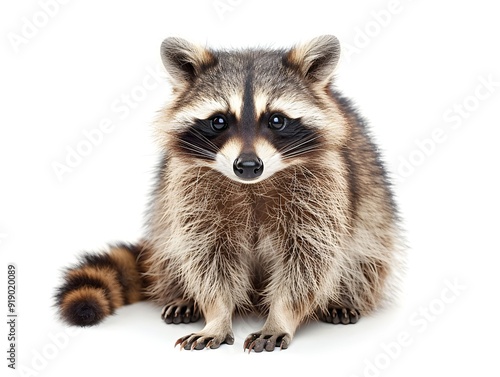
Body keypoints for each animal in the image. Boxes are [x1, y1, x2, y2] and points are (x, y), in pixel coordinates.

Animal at [54, 35, 402, 352]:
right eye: (219, 121)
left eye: (276, 120)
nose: (247, 166)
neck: (252, 185)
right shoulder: (188, 187)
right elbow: (206, 255)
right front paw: (216, 314)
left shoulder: (323, 186)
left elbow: (308, 258)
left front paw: (281, 316)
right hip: (163, 218)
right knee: (172, 250)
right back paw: (181, 295)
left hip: (374, 217)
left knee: (364, 255)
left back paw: (343, 297)